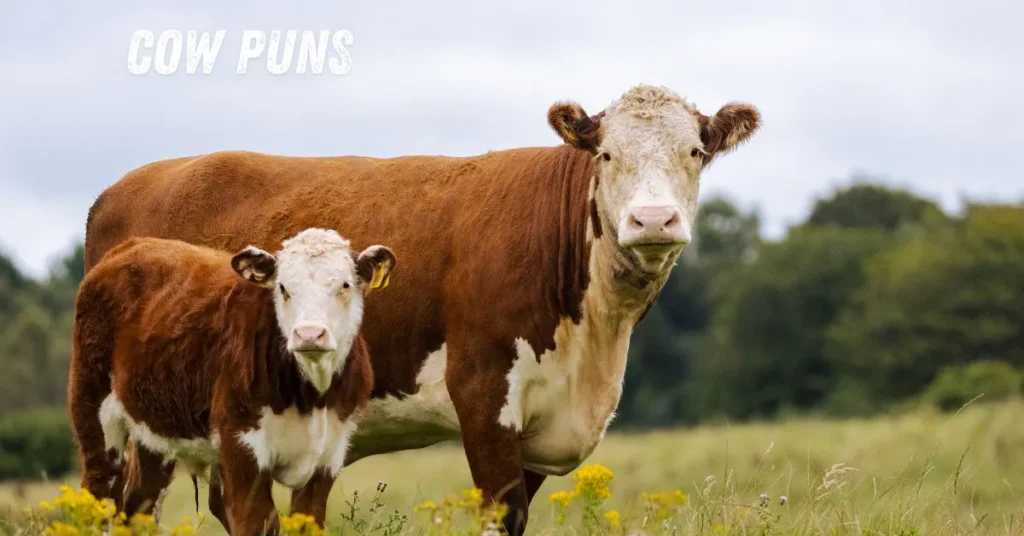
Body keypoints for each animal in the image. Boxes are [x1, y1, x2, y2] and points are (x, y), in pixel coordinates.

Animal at [68, 228, 395, 534]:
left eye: (345, 285)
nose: (309, 334)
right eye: (283, 288)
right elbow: (257, 521)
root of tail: (132, 245)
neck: (311, 397)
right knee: (99, 493)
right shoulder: (241, 444)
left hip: (156, 432)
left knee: (138, 505)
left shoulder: (329, 454)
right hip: (94, 412)